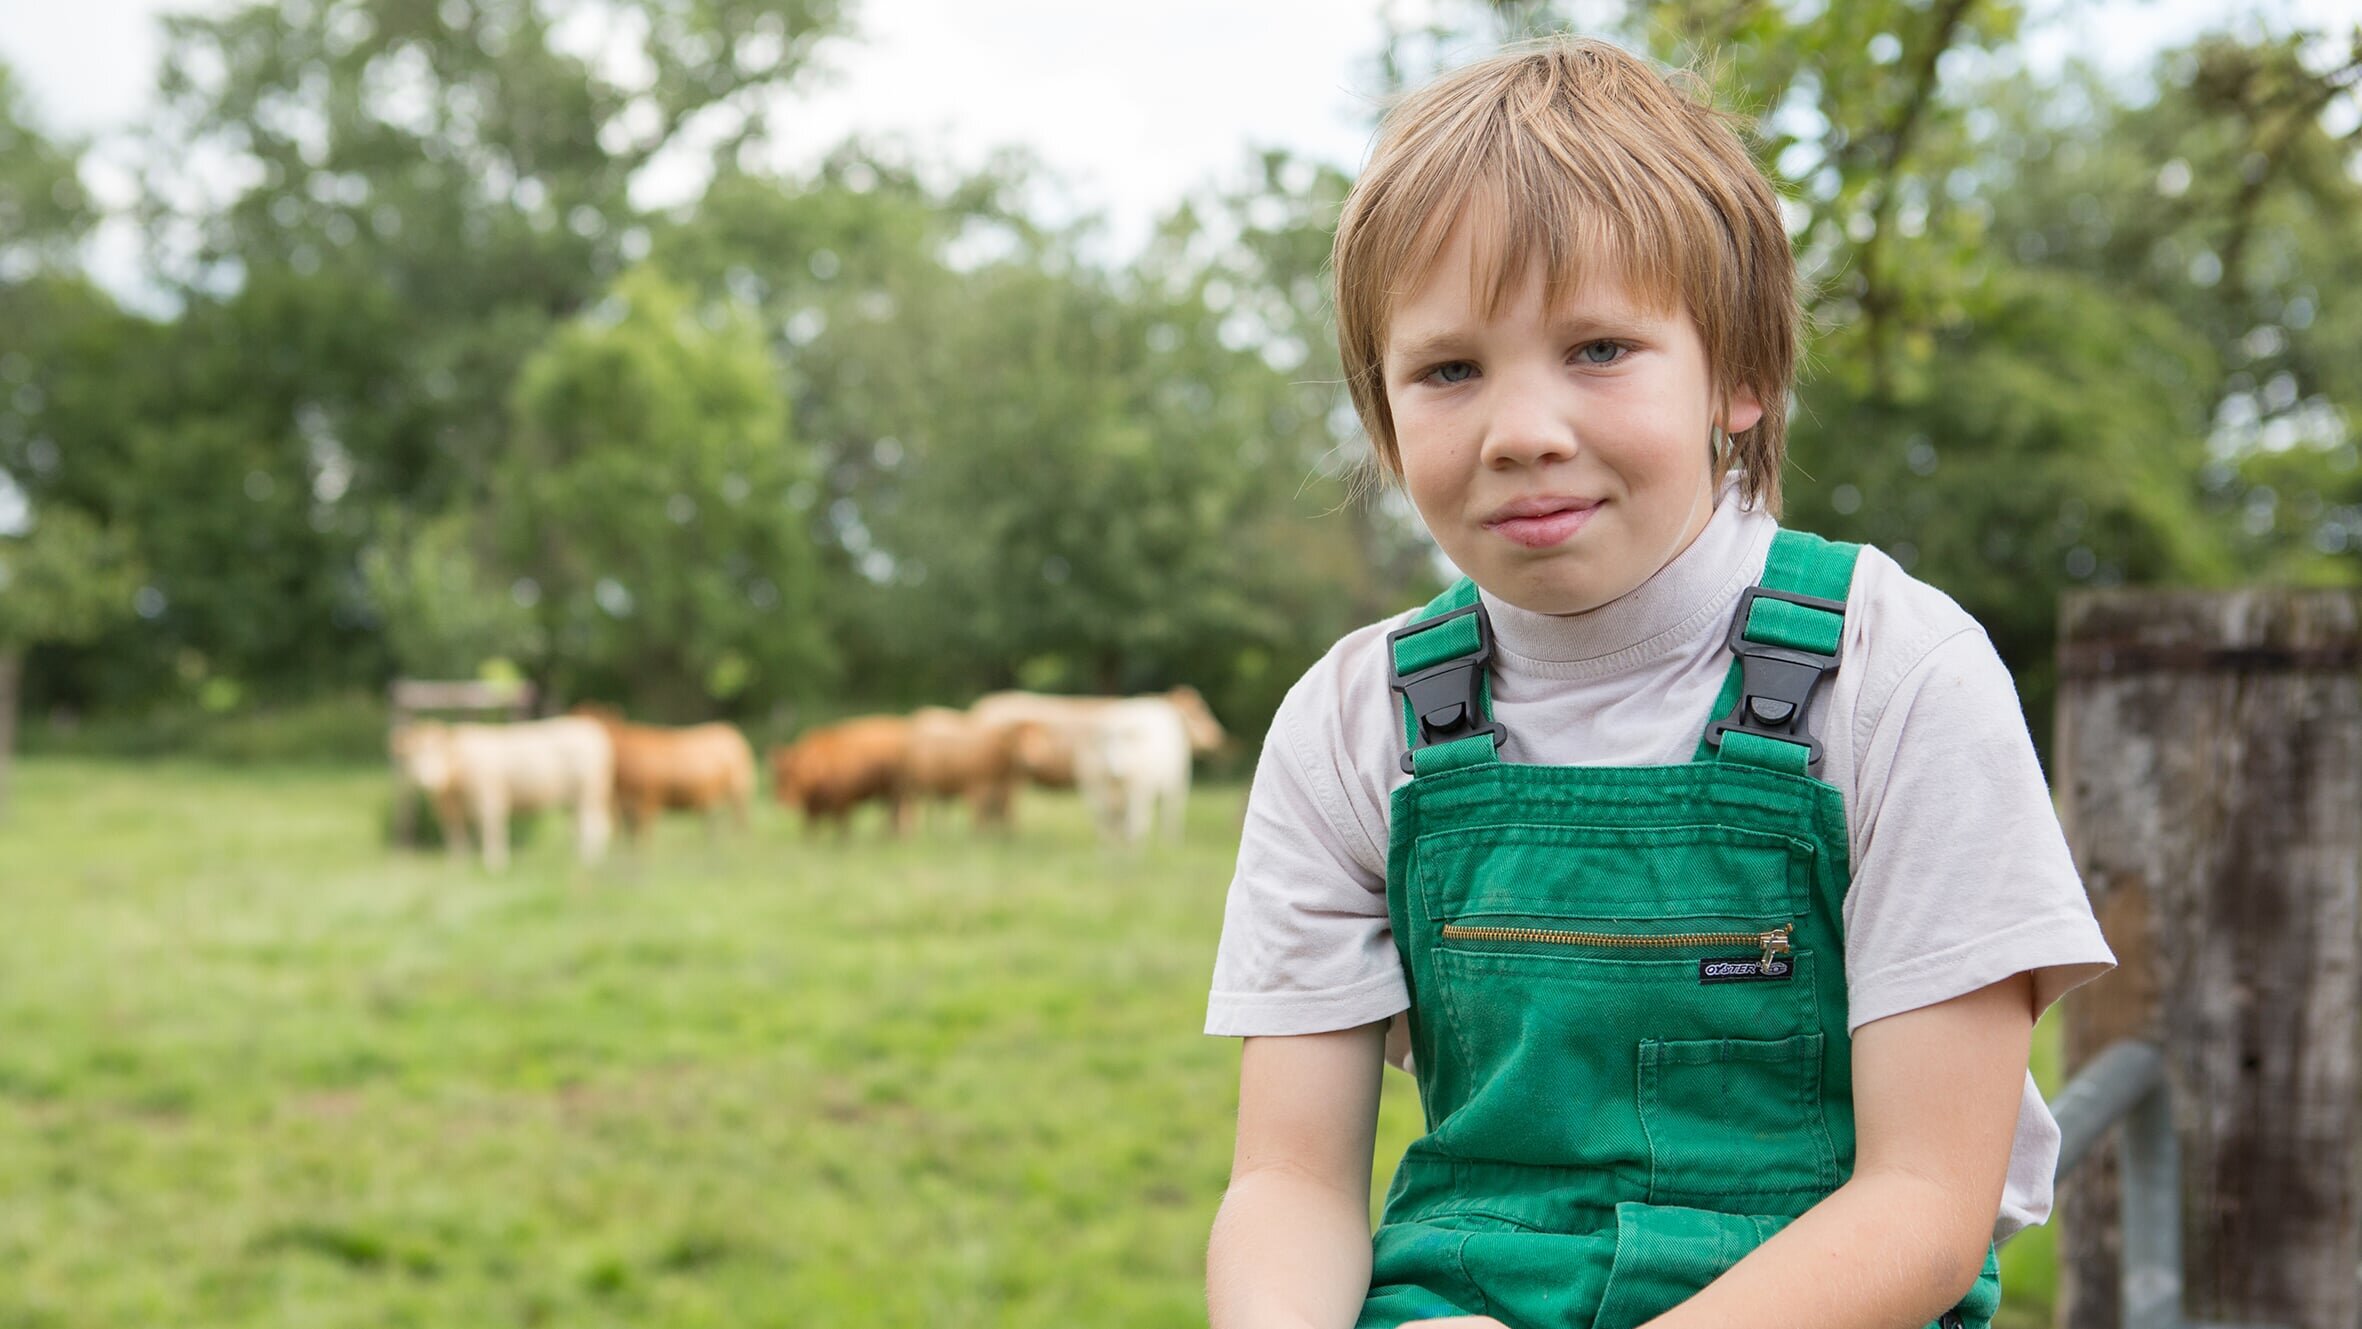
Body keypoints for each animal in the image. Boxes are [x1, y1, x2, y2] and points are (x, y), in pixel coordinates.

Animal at [387, 717, 614, 873]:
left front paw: (494, 864)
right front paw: (458, 865)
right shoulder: (450, 809)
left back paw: (588, 861)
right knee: (583, 826)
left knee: (592, 825)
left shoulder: (488, 798)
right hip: (573, 800)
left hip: (588, 793)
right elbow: (456, 834)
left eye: (436, 753)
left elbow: (492, 830)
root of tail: (591, 730)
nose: (426, 780)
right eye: (411, 756)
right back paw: (577, 859)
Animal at [571, 708, 755, 840]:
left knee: (740, 823)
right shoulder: (624, 807)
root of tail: (729, 730)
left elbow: (642, 842)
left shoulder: (648, 804)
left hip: (739, 792)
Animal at [770, 717, 907, 830]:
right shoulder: (813, 810)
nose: (783, 805)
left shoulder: (842, 804)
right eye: (777, 778)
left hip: (896, 793)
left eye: (794, 776)